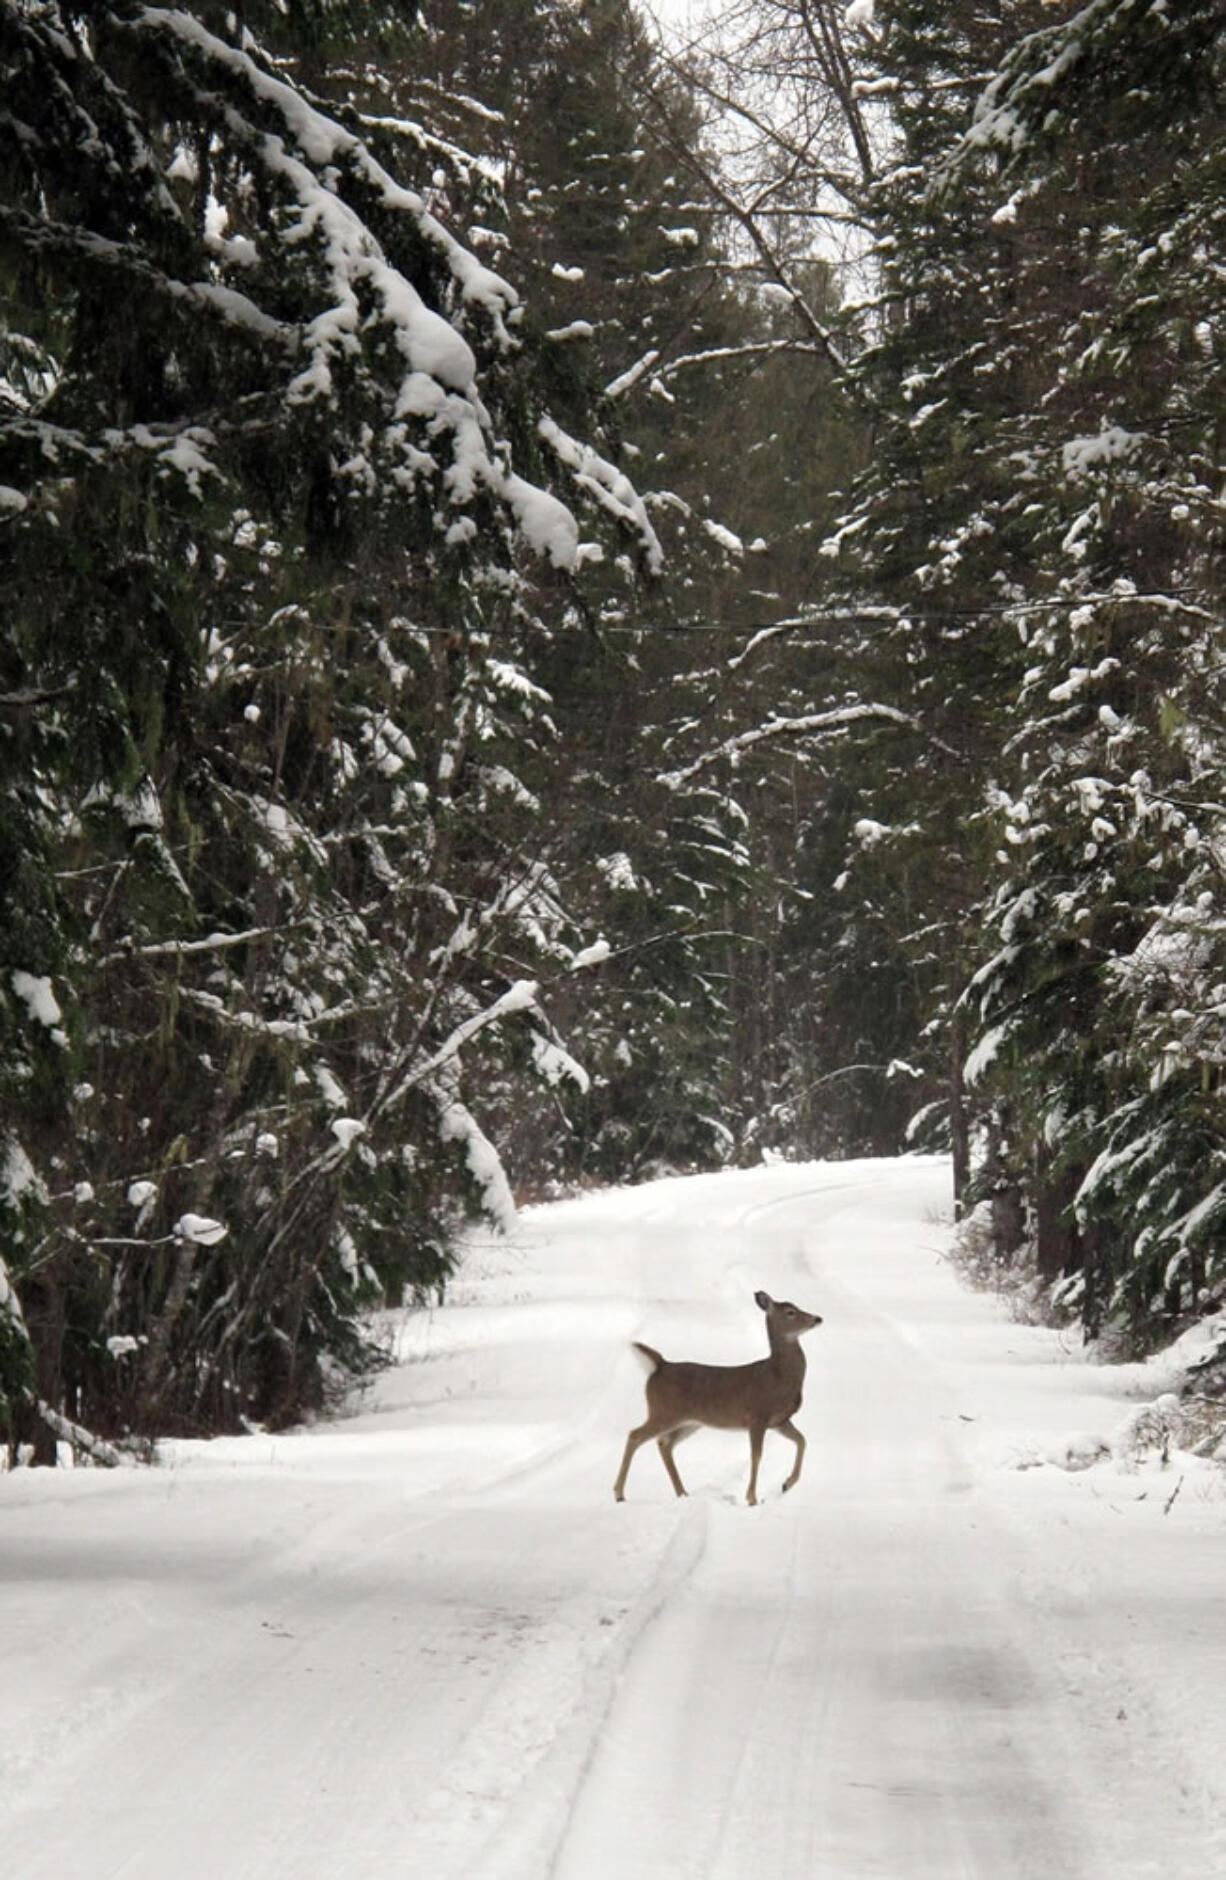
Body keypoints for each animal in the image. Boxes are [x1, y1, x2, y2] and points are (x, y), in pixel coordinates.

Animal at [613, 1293, 823, 1511]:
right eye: (790, 1312)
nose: (817, 1319)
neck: (778, 1377)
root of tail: (660, 1365)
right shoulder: (757, 1416)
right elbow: (756, 1455)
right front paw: (752, 1498)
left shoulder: (779, 1420)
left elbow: (802, 1440)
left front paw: (787, 1483)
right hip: (663, 1412)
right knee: (635, 1435)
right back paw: (619, 1494)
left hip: (689, 1422)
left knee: (664, 1443)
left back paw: (682, 1493)